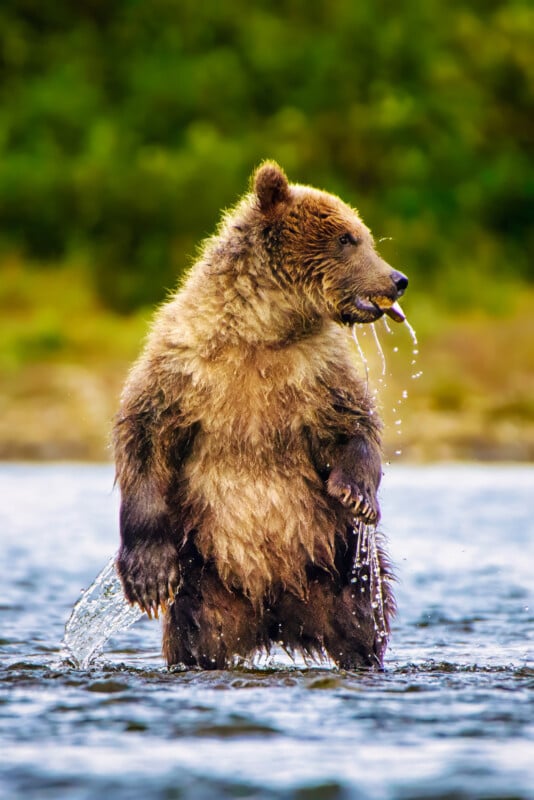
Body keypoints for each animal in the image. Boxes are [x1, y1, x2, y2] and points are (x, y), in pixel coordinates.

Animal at [113, 161, 408, 670]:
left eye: (364, 236)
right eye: (347, 238)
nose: (397, 278)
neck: (262, 330)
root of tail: (273, 610)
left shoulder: (318, 372)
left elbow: (353, 424)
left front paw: (355, 495)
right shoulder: (184, 367)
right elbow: (145, 436)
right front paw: (147, 574)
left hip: (337, 562)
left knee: (363, 617)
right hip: (204, 576)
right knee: (195, 632)